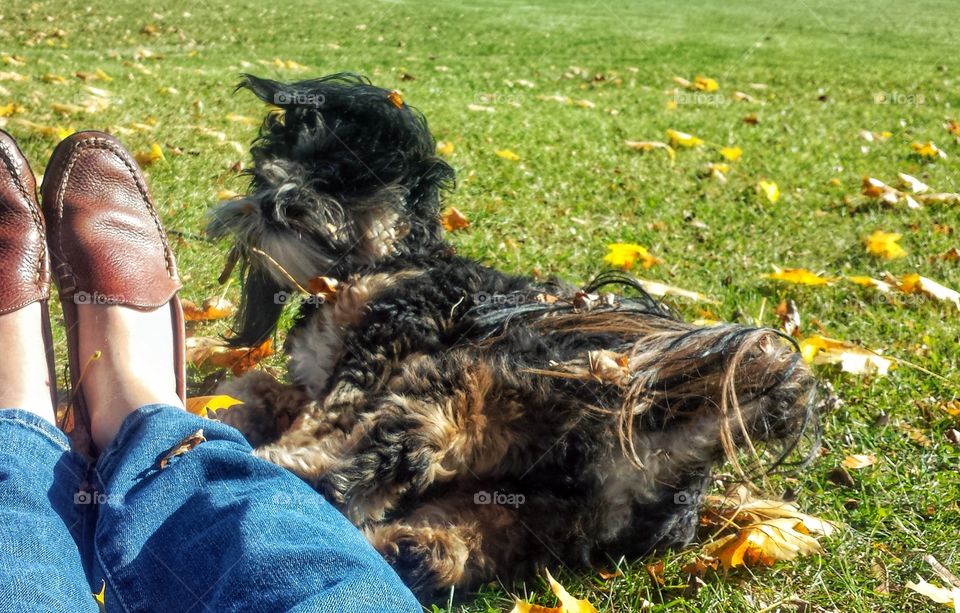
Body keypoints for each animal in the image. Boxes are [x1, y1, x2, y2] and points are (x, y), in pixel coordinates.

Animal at [206, 71, 820, 596]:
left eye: (335, 170)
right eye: (267, 169)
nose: (274, 202)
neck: (385, 263)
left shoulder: (379, 348)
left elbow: (304, 399)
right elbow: (260, 385)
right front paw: (230, 406)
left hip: (470, 382)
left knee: (399, 443)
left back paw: (289, 470)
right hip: (553, 513)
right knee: (480, 527)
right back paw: (416, 549)